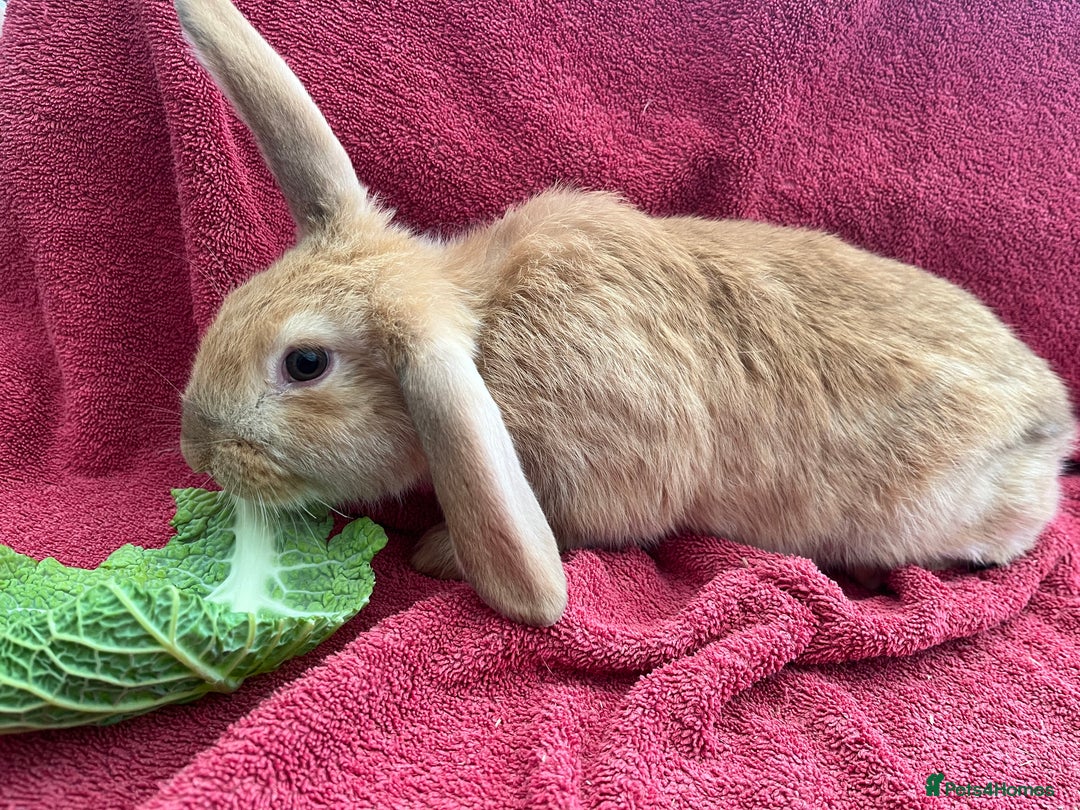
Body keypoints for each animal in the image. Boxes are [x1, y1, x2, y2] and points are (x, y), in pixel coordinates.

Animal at [175, 0, 1076, 626]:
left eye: (305, 364)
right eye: (236, 298)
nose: (196, 449)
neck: (487, 330)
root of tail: (1053, 416)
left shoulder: (593, 482)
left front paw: (437, 553)